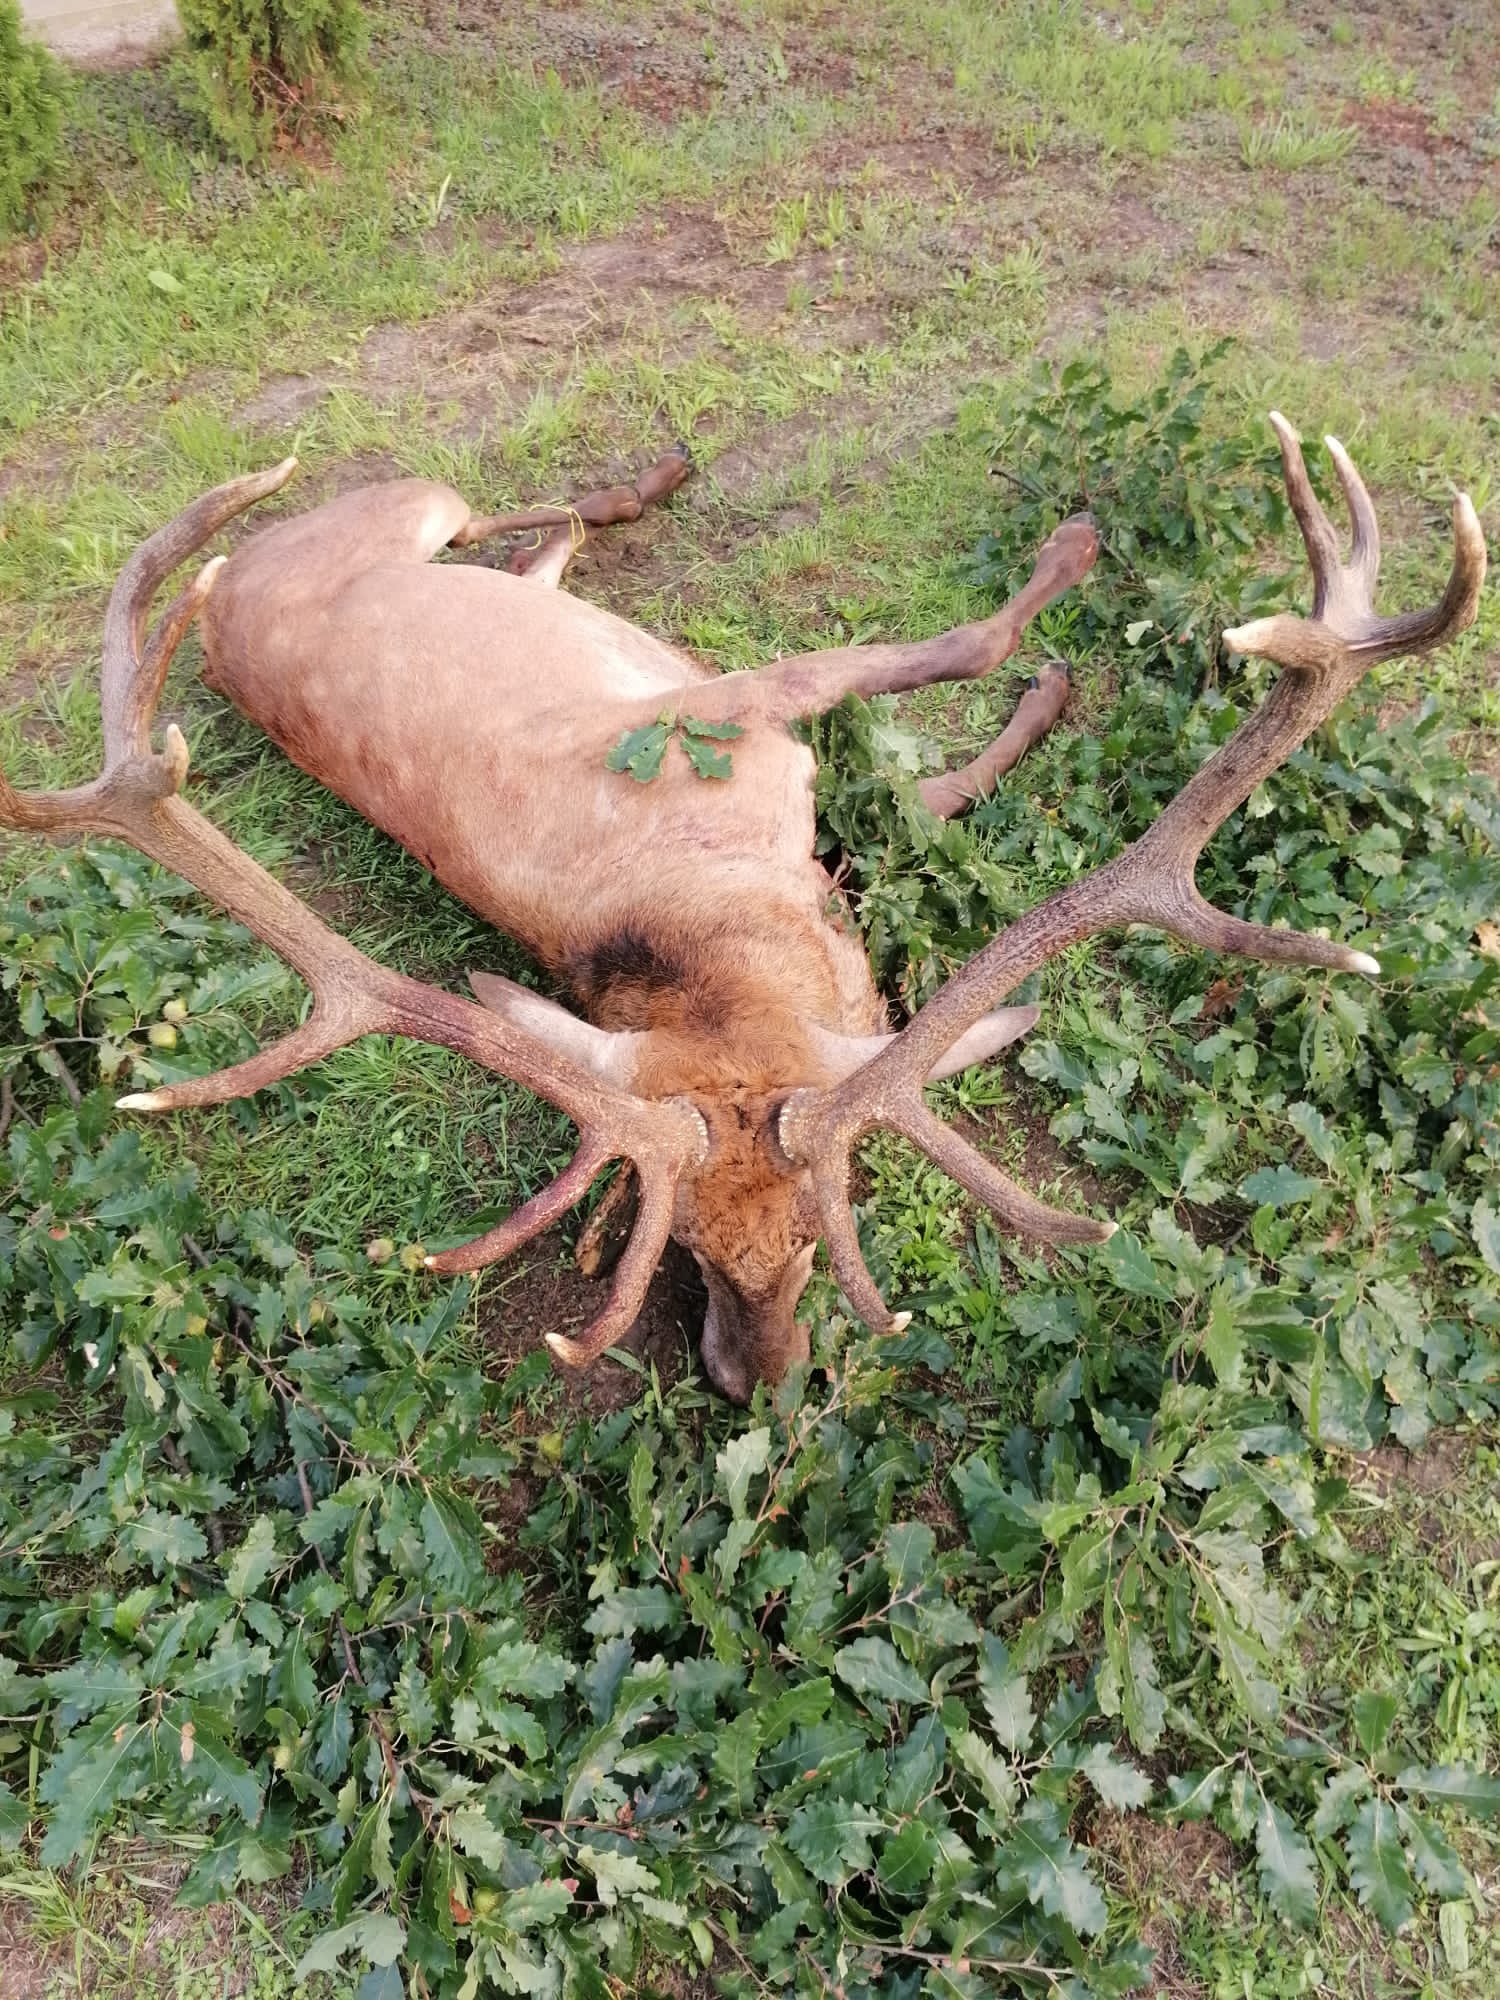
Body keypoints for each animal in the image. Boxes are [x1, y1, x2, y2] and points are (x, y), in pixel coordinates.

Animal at [0, 421, 1485, 1402]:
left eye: (826, 1232)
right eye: (688, 1254)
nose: (750, 1382)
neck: (718, 912)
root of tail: (228, 586)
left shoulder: (743, 710)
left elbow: (959, 668)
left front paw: (1064, 596)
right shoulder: (756, 745)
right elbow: (947, 735)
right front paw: (1056, 653)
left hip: (411, 514)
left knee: (524, 524)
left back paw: (661, 473)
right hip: (399, 526)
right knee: (528, 532)